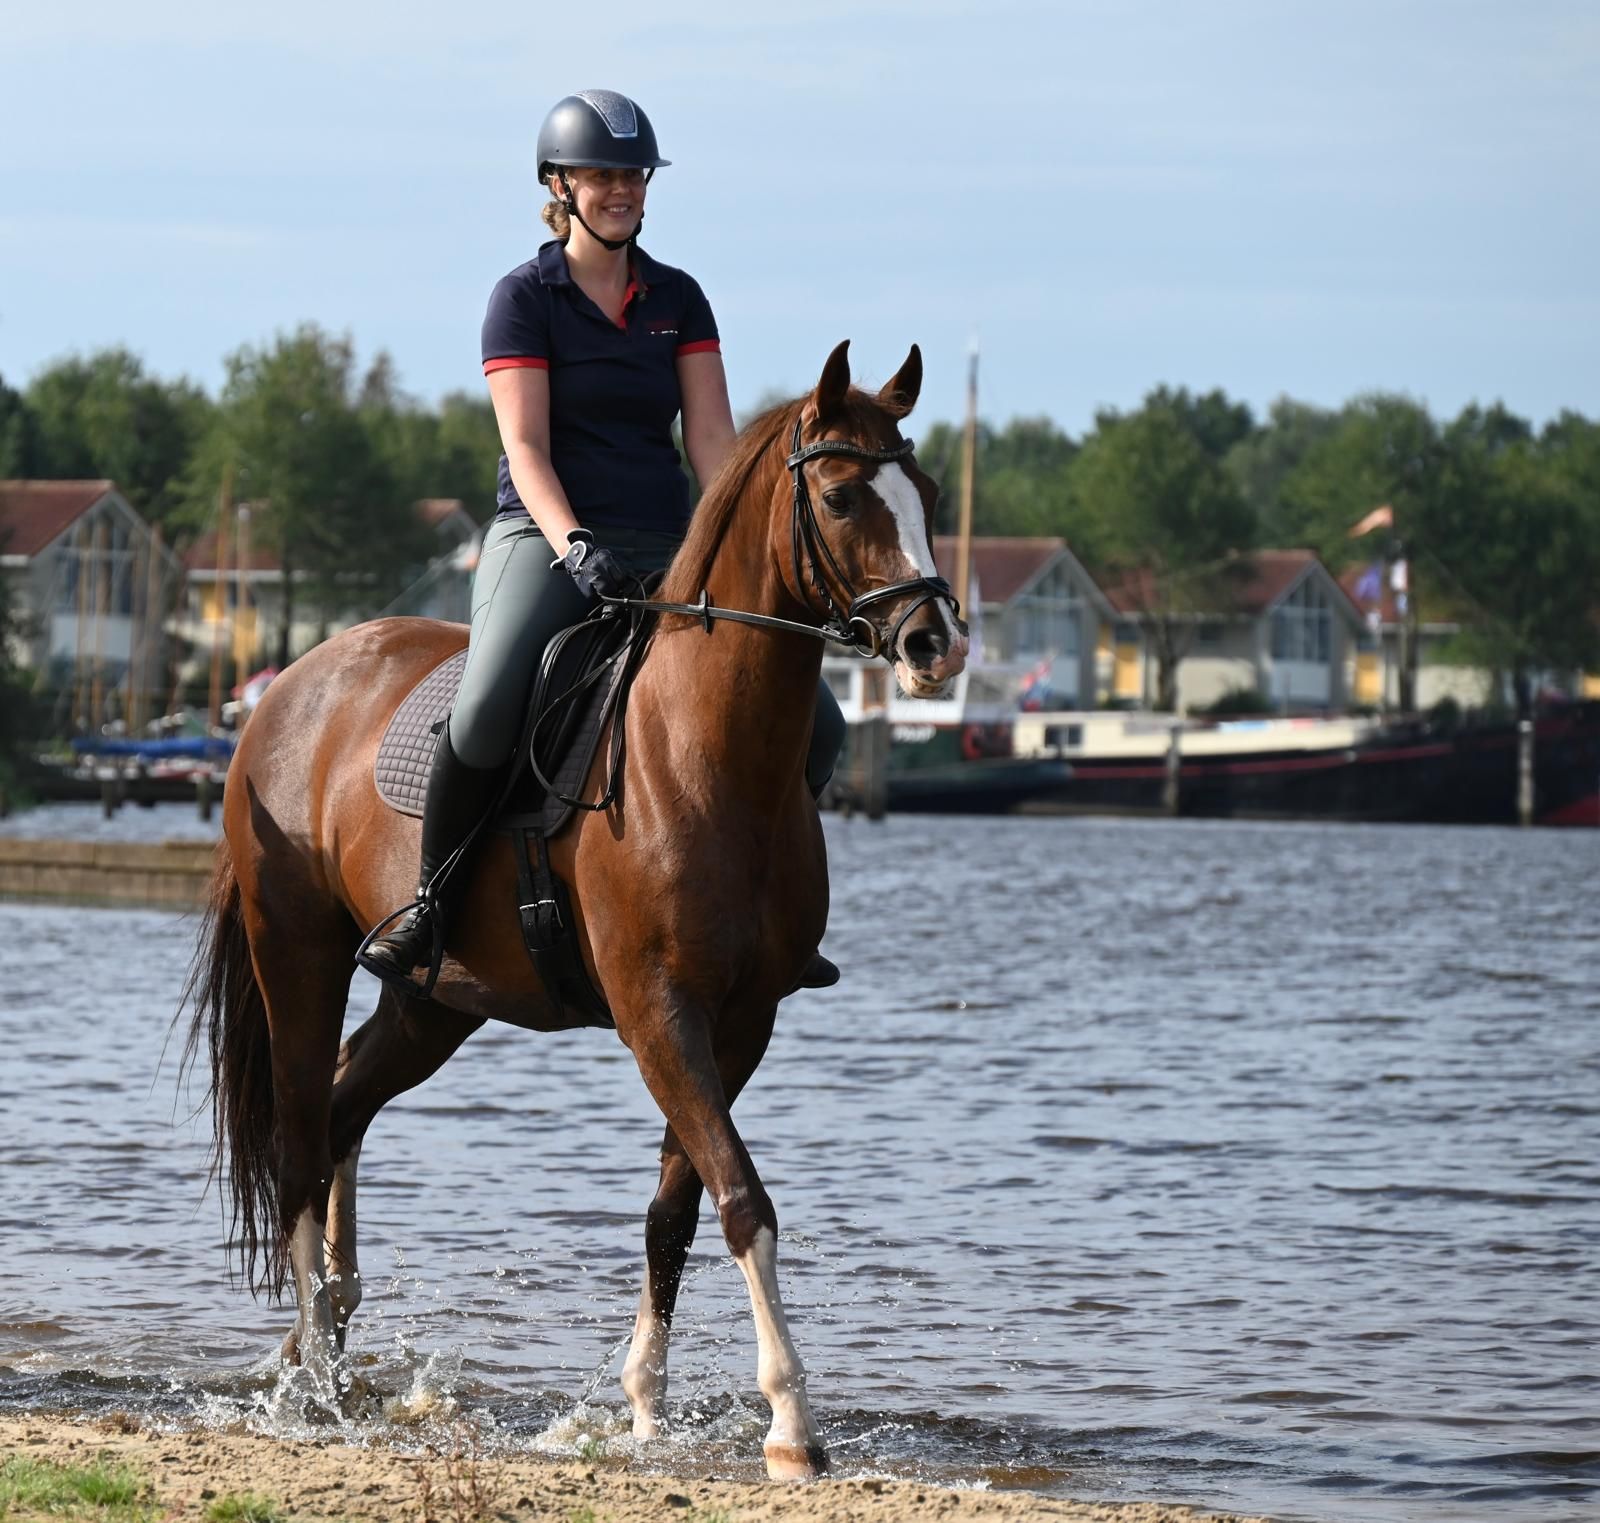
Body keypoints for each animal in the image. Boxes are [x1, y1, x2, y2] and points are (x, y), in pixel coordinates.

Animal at [182, 340, 967, 1481]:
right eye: (838, 494)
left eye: (931, 492)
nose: (935, 644)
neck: (704, 750)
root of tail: (287, 687)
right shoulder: (658, 1010)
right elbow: (741, 1196)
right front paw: (790, 1420)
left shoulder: (738, 1021)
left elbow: (675, 1209)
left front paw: (644, 1405)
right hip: (301, 960)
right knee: (294, 1139)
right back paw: (318, 1378)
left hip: (436, 1001)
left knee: (338, 1109)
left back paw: (324, 1330)